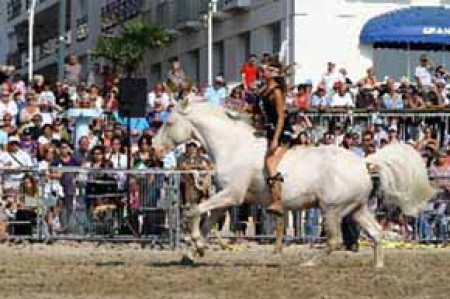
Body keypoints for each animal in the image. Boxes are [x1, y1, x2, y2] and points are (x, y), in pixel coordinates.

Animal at [153, 102, 434, 268]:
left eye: (169, 123)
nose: (155, 149)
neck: (232, 146)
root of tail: (364, 163)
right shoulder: (227, 199)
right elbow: (206, 221)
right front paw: (193, 252)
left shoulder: (232, 195)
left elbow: (193, 211)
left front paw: (196, 247)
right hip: (357, 209)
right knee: (376, 233)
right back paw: (378, 266)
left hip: (331, 210)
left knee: (334, 241)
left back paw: (308, 263)